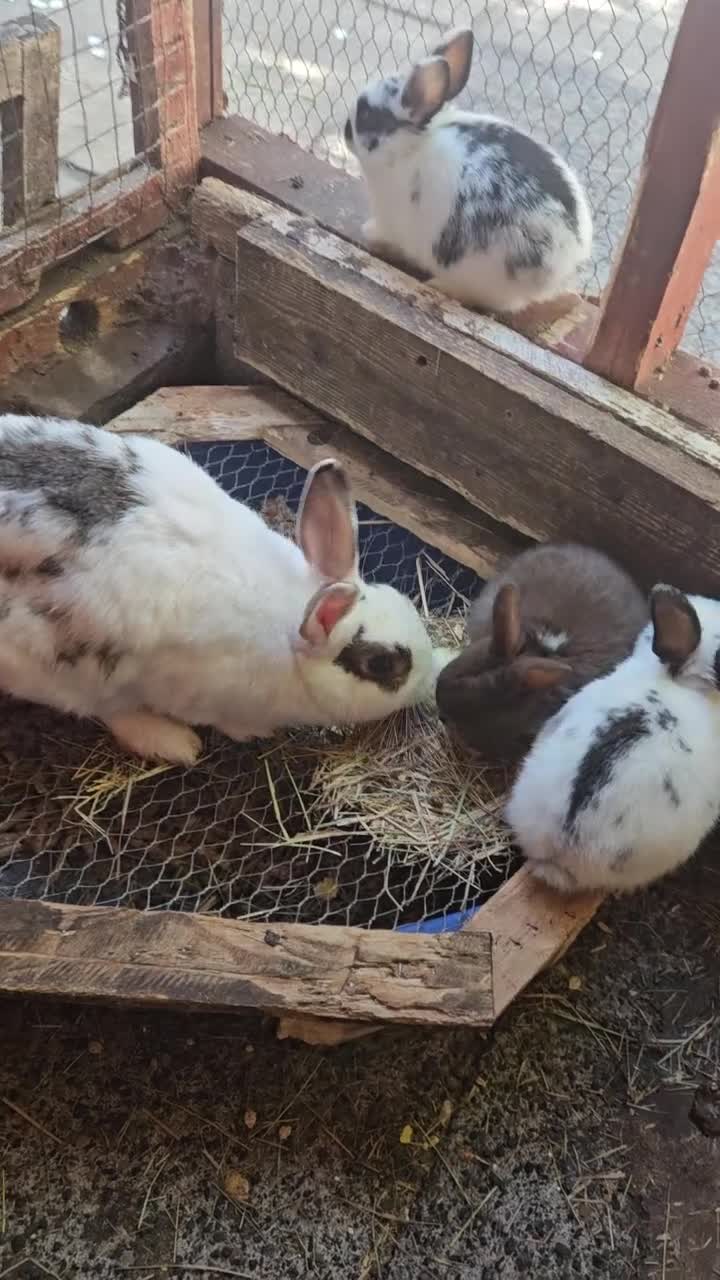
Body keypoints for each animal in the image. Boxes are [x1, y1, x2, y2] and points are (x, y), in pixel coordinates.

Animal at [0, 415, 435, 765]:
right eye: (381, 664)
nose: (428, 681)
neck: (290, 626)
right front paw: (250, 731)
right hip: (66, 670)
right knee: (106, 708)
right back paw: (173, 741)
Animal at [344, 27, 593, 314]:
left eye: (366, 115)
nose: (345, 131)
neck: (410, 146)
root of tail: (565, 260)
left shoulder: (391, 219)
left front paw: (369, 232)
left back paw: (440, 285)